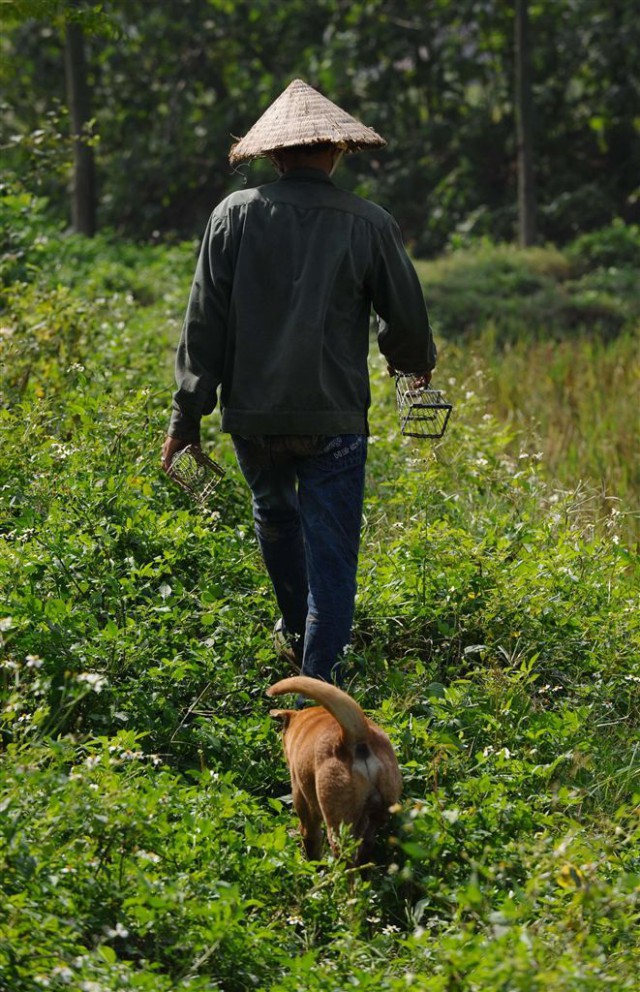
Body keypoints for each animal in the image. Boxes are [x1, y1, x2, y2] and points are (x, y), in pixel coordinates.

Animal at [268, 676, 402, 860]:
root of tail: (357, 738)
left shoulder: (304, 802)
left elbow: (310, 838)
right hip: (380, 810)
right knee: (366, 845)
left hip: (338, 820)